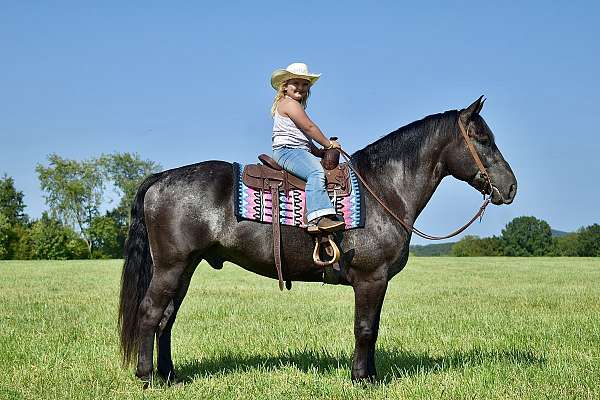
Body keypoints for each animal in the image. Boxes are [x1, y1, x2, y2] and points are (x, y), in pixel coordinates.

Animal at [116, 97, 516, 384]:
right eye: (482, 139)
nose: (511, 187)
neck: (383, 188)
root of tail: (161, 178)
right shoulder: (371, 279)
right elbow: (365, 328)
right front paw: (361, 379)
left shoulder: (378, 283)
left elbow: (372, 328)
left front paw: (371, 376)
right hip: (171, 267)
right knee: (151, 313)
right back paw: (148, 377)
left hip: (185, 268)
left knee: (167, 318)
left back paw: (170, 375)